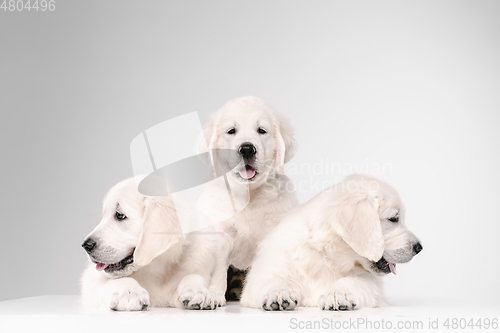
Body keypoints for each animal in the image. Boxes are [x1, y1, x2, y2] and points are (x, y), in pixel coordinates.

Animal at [80, 178, 221, 310]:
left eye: (119, 215)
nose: (86, 246)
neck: (155, 267)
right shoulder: (91, 280)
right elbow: (116, 279)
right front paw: (130, 291)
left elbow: (193, 275)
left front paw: (199, 291)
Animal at [194, 96, 296, 304]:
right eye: (231, 131)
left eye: (261, 130)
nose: (247, 149)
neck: (248, 194)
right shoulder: (221, 232)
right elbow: (218, 269)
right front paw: (214, 295)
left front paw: (275, 292)